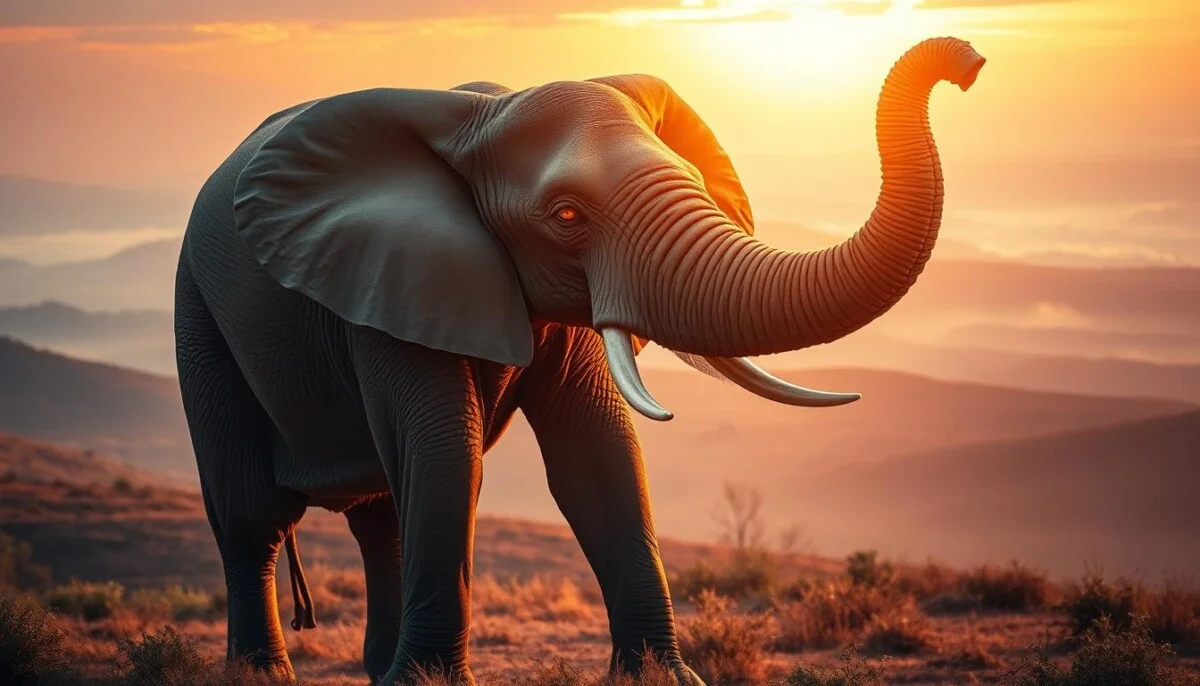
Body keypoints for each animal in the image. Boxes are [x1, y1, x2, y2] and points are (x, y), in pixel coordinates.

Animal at [174, 36, 984, 684]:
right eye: (566, 215)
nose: (969, 61)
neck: (481, 114)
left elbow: (598, 449)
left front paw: (660, 679)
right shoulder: (386, 280)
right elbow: (447, 453)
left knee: (380, 513)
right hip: (198, 310)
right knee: (253, 515)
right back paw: (263, 676)